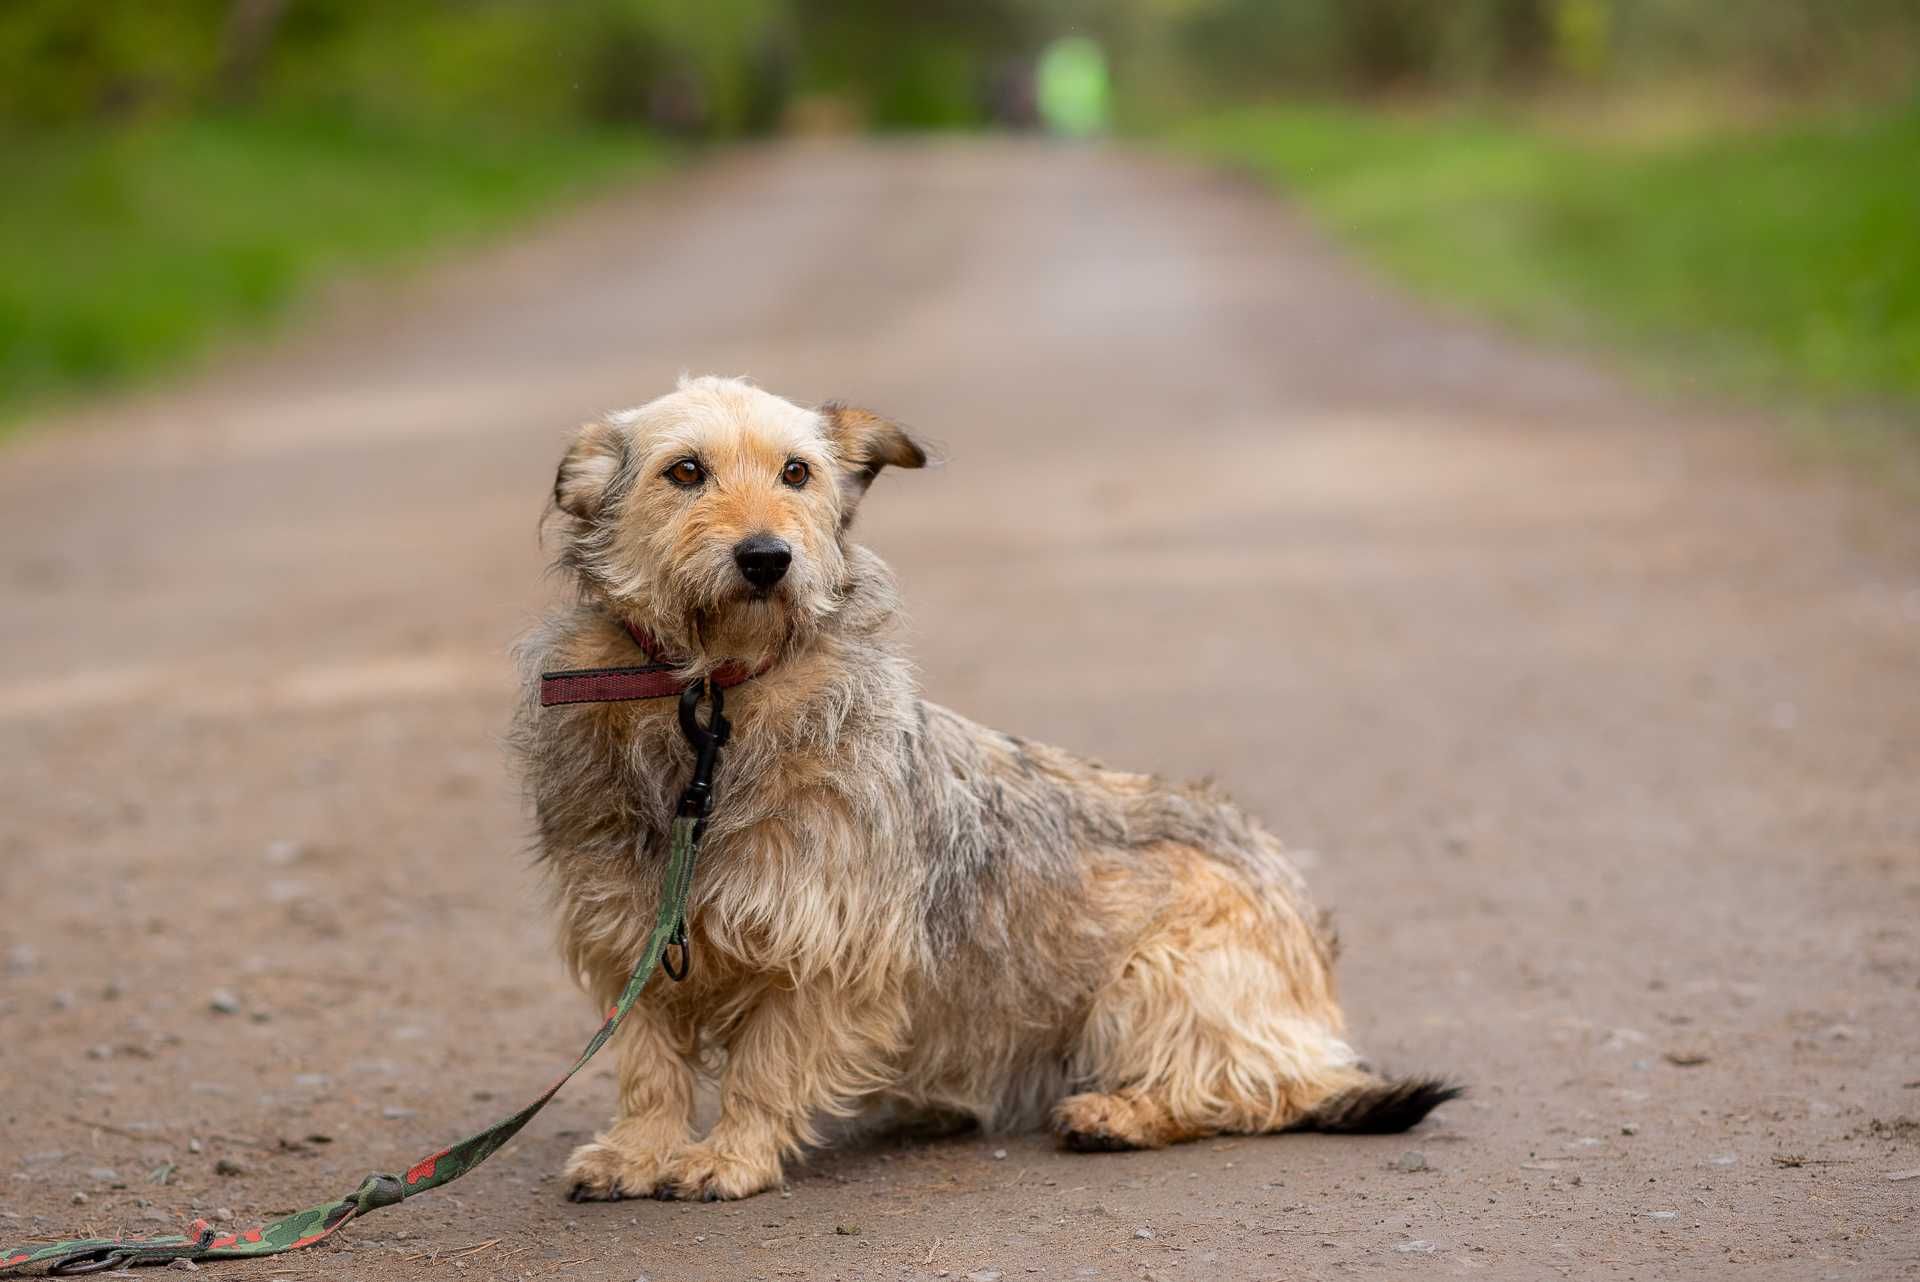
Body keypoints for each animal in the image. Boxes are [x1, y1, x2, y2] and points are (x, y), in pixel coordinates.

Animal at [510, 370, 1451, 1205]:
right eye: (685, 472)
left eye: (796, 473)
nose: (767, 558)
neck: (712, 695)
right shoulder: (630, 929)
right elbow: (648, 1066)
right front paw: (638, 1153)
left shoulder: (828, 948)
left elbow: (763, 1070)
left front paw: (729, 1157)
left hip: (1161, 977)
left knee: (1254, 1089)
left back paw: (1119, 1113)